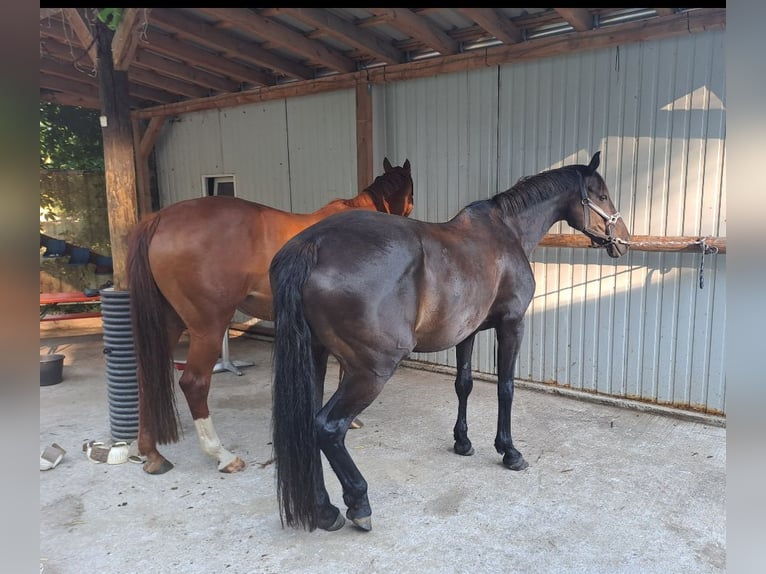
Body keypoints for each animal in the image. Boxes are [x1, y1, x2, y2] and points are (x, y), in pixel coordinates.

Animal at [127, 158, 414, 476]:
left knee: (144, 376)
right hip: (208, 327)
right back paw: (222, 455)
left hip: (170, 322)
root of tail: (160, 219)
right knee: (194, 383)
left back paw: (149, 452)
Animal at [270, 151, 632, 532]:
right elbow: (506, 388)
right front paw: (510, 452)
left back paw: (325, 510)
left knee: (308, 426)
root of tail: (313, 245)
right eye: (602, 196)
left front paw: (463, 441)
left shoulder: (467, 332)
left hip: (316, 357)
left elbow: (464, 384)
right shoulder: (512, 325)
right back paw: (358, 503)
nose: (623, 240)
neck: (507, 232)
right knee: (328, 427)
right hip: (371, 371)